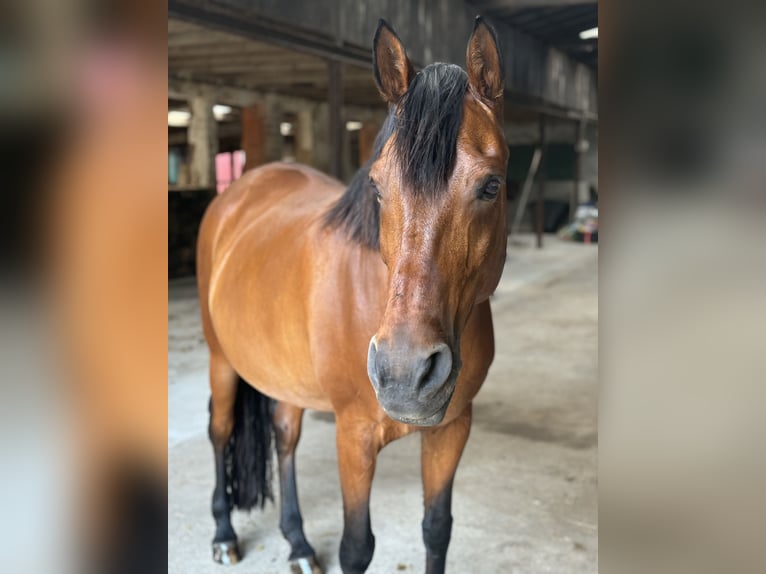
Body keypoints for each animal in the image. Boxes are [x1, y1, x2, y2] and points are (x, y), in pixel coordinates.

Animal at [198, 18, 510, 574]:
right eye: (378, 188)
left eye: (491, 186)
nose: (405, 376)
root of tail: (240, 191)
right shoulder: (355, 435)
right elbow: (357, 547)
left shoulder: (452, 429)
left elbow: (437, 529)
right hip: (221, 360)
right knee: (220, 430)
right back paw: (223, 534)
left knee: (285, 436)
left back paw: (298, 544)